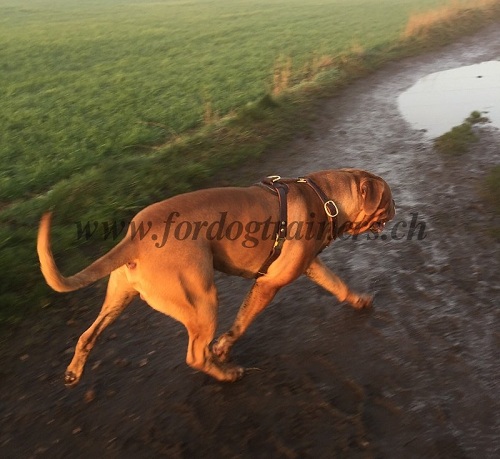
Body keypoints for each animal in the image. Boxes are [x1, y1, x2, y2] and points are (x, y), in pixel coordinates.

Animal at [36, 168, 394, 384]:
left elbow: (338, 284)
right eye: (388, 199)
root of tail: (134, 237)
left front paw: (359, 300)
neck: (325, 198)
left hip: (119, 297)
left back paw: (73, 372)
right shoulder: (268, 284)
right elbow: (242, 320)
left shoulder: (311, 266)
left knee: (88, 334)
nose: (397, 207)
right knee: (195, 355)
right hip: (202, 300)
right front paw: (223, 347)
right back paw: (227, 373)